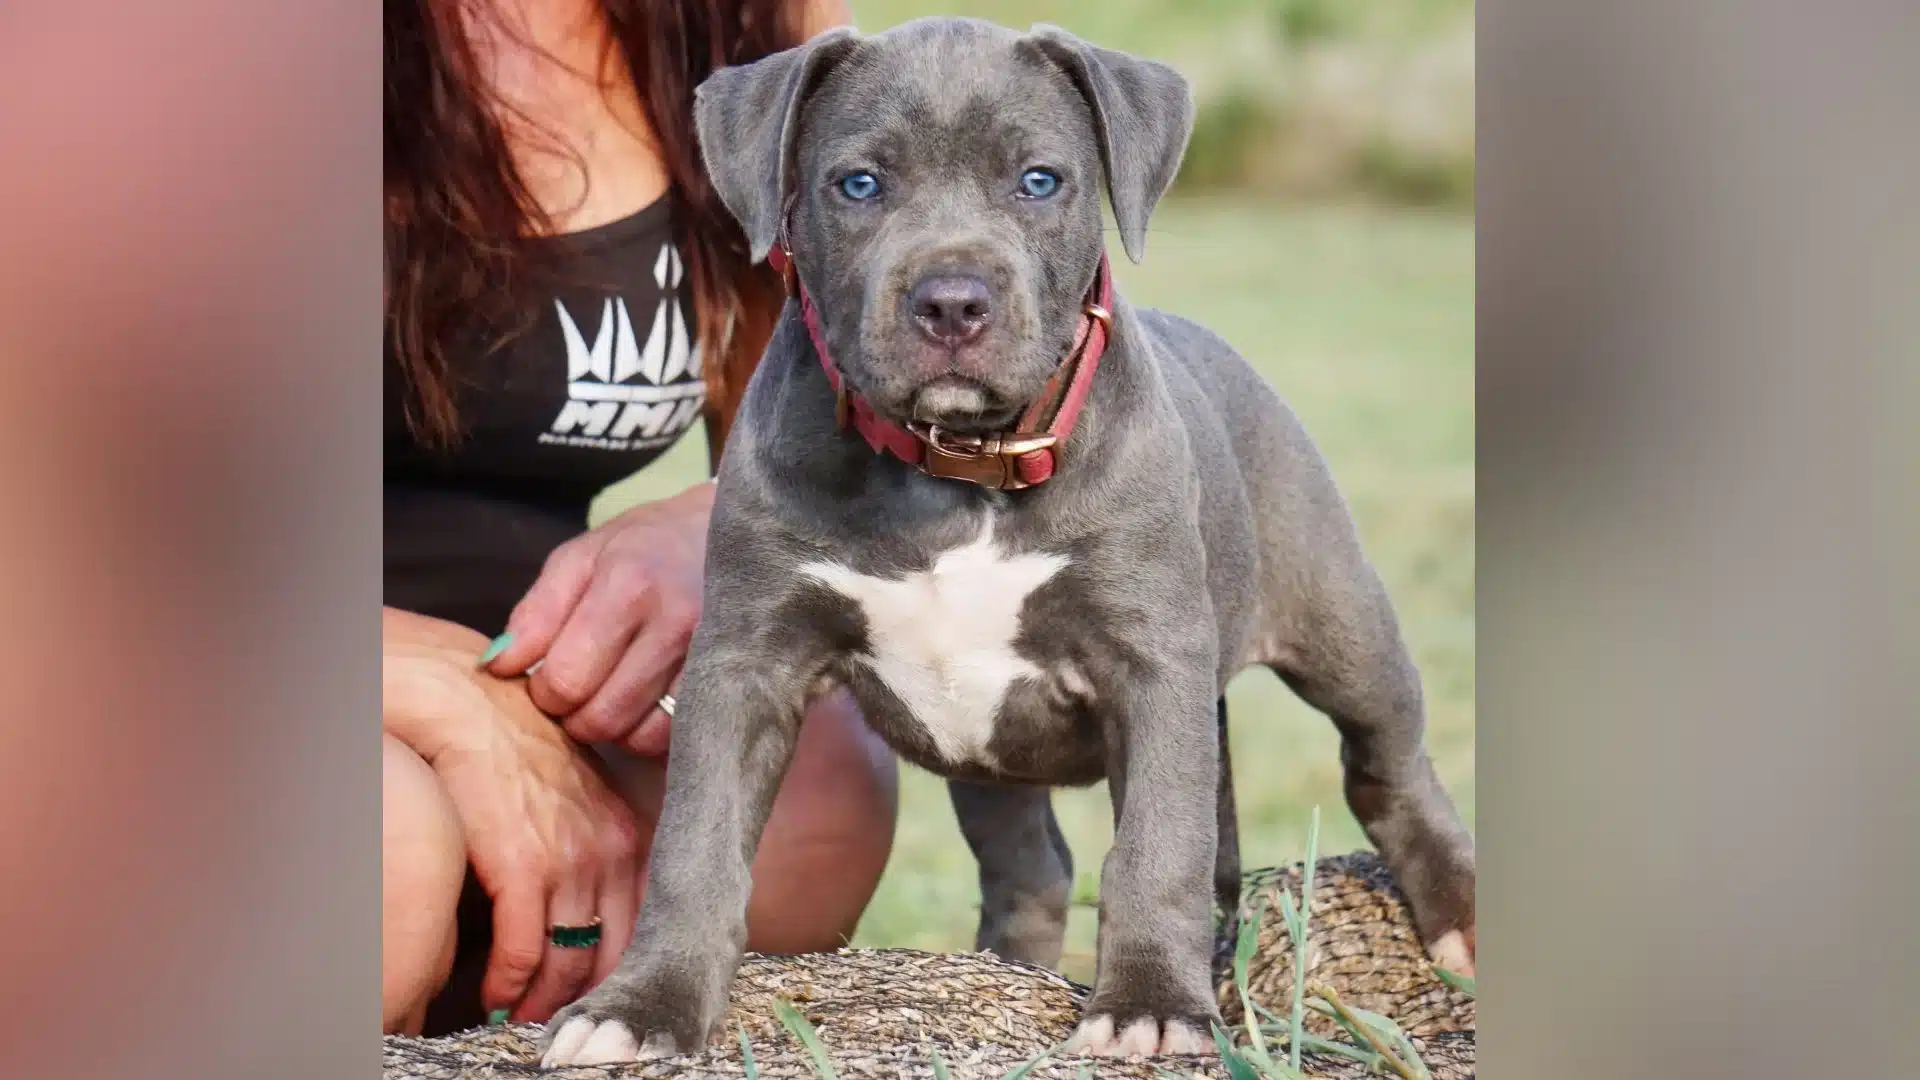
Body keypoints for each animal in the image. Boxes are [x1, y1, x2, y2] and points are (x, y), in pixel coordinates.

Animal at [549, 14, 1474, 1060]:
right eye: (858, 184)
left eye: (1039, 181)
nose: (953, 301)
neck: (957, 469)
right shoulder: (745, 660)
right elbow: (695, 844)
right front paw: (640, 1008)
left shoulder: (1151, 661)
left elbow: (1156, 846)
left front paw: (1151, 1004)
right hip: (991, 760)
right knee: (1036, 863)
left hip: (1341, 624)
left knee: (1389, 764)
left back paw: (1455, 922)